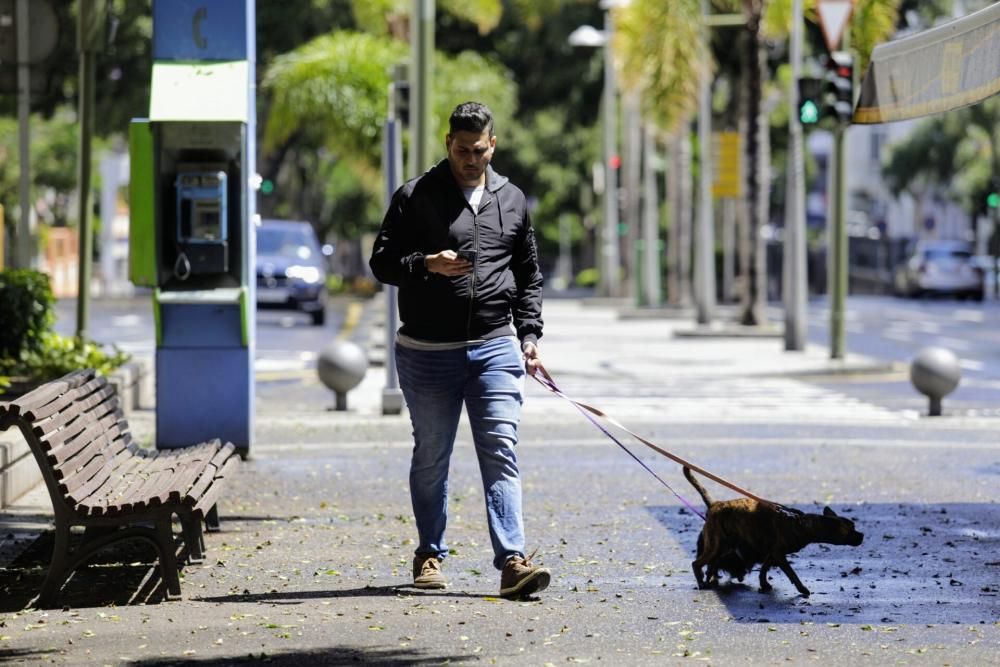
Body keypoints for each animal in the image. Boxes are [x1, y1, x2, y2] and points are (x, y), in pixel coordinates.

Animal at [684, 464, 864, 600]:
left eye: (853, 525)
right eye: (850, 529)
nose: (862, 535)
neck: (801, 524)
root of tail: (715, 504)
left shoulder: (773, 553)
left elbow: (764, 569)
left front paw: (764, 584)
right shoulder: (779, 554)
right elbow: (791, 573)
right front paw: (802, 589)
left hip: (724, 546)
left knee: (711, 564)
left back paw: (710, 579)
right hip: (716, 545)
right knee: (697, 563)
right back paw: (702, 583)